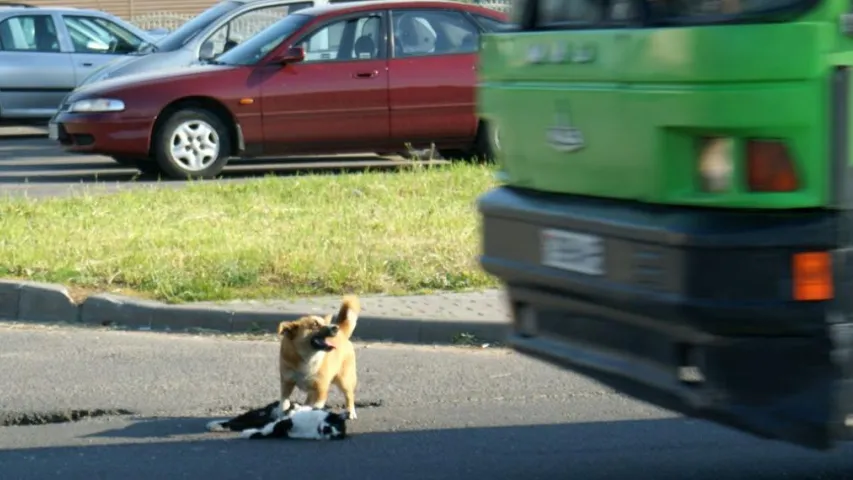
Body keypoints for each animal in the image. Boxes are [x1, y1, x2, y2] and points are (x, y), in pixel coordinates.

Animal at [205, 400, 348, 440]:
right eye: (335, 423)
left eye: (335, 435)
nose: (328, 429)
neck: (314, 426)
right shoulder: (291, 418)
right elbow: (280, 423)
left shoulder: (282, 431)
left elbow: (267, 432)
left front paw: (249, 433)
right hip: (261, 414)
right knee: (237, 420)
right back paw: (215, 424)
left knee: (239, 423)